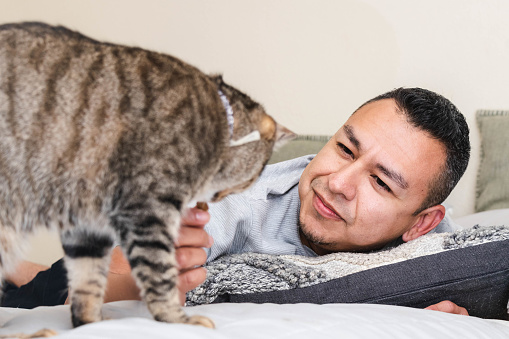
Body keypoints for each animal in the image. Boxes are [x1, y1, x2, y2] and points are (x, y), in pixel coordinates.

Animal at [0, 22, 292, 330]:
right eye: (252, 178)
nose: (217, 198)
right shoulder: (146, 208)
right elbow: (159, 273)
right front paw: (176, 318)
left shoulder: (88, 224)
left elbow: (87, 281)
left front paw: (91, 324)